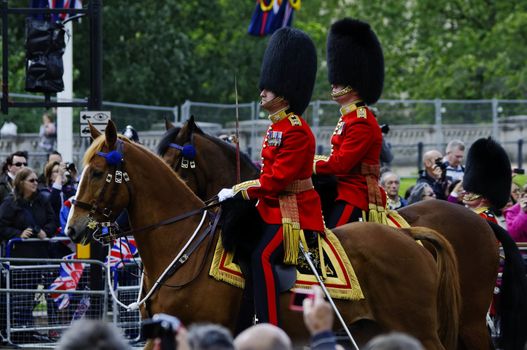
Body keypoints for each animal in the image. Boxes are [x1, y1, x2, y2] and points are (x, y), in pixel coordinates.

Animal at [69, 121, 462, 348]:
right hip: (374, 328)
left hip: (416, 326)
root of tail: (411, 238)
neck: (183, 250)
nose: (73, 228)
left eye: (98, 171)